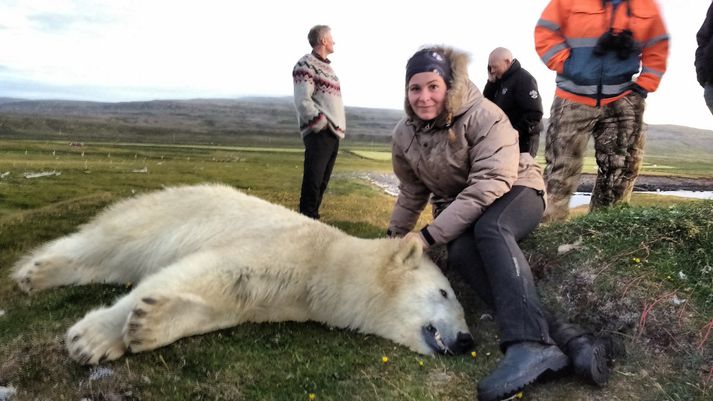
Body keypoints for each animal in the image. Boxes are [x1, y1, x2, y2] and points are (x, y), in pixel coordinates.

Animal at [11, 183, 472, 364]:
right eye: (445, 293)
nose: (467, 340)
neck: (329, 263)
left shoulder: (291, 297)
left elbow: (226, 302)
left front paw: (149, 324)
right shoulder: (285, 249)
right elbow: (204, 271)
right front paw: (92, 340)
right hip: (161, 213)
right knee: (105, 243)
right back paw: (34, 271)